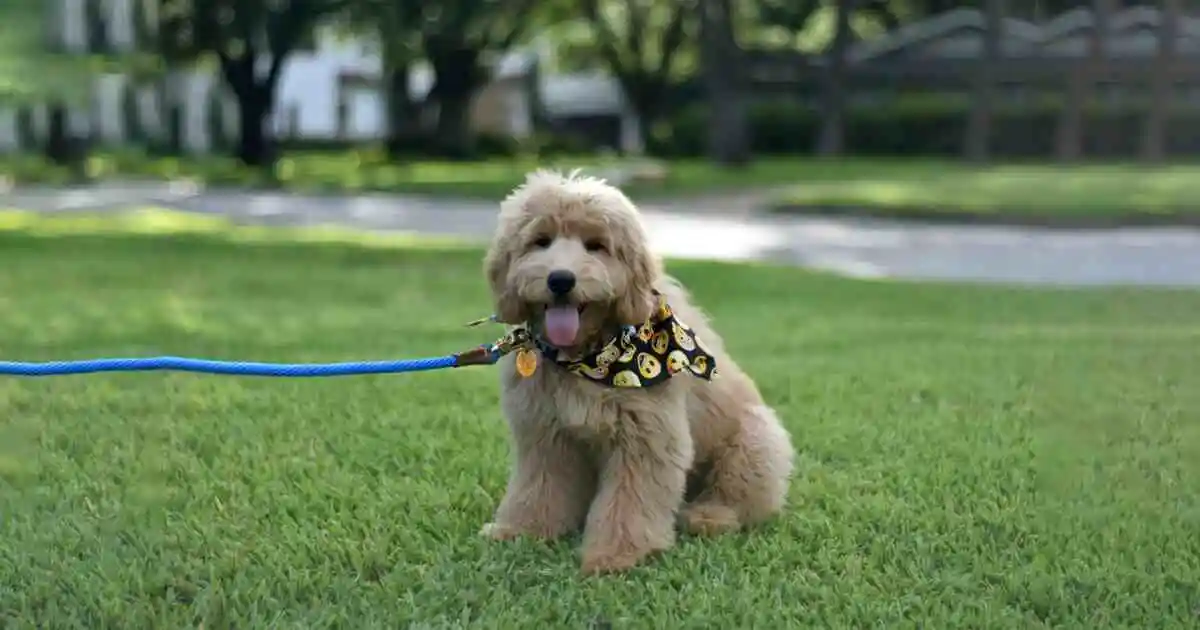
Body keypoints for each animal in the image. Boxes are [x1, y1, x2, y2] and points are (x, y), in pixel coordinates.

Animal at [477, 169, 796, 571]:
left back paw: (708, 516)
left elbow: (630, 500)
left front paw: (616, 554)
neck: (590, 356)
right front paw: (521, 530)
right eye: (540, 241)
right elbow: (538, 487)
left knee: (740, 498)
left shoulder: (647, 435)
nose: (560, 280)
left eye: (595, 245)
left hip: (756, 440)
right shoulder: (545, 433)